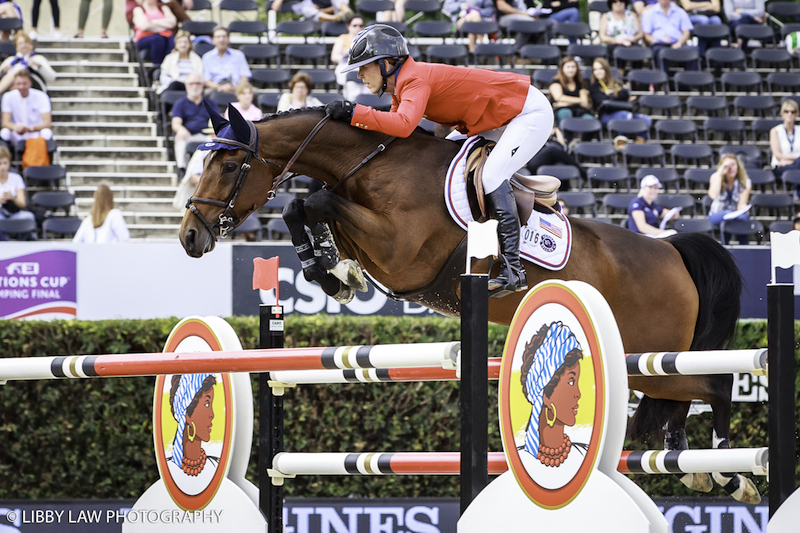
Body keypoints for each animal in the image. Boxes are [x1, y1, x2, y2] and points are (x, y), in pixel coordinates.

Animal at [178, 105, 760, 502]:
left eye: (228, 166)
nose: (189, 236)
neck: (371, 165)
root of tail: (670, 250)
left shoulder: (401, 252)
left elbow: (314, 199)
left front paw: (334, 273)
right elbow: (307, 208)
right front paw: (334, 273)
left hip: (649, 356)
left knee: (717, 383)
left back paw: (731, 471)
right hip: (648, 365)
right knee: (682, 398)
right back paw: (693, 465)